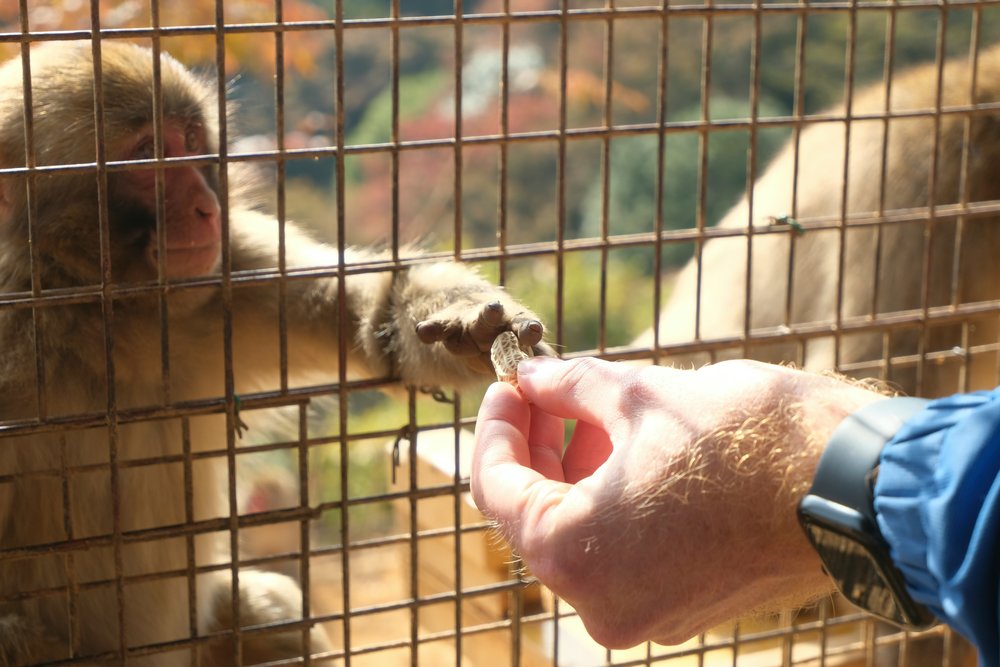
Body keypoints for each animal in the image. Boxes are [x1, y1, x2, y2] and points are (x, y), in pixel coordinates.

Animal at [0, 41, 548, 665]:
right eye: (145, 155)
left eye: (191, 139)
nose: (206, 206)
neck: (100, 316)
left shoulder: (228, 268)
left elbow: (366, 325)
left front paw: (467, 321)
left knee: (274, 616)